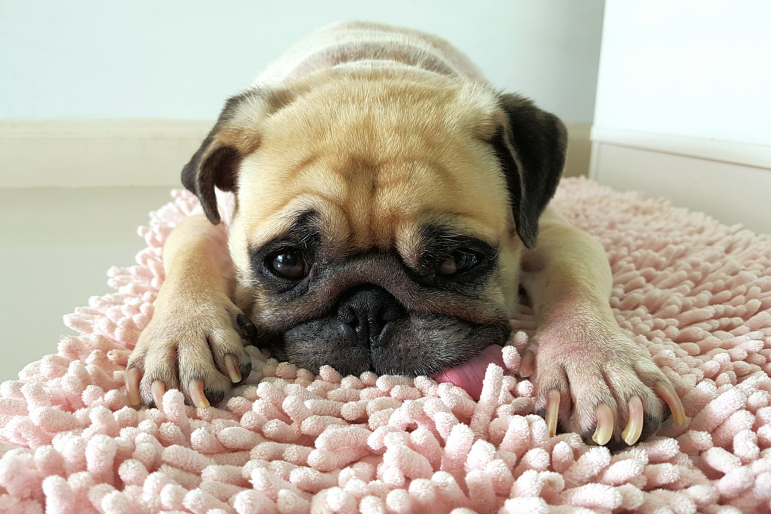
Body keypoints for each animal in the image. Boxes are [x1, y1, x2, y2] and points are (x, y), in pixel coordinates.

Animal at [123, 22, 684, 442]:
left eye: (458, 262)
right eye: (286, 262)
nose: (368, 308)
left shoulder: (555, 234)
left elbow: (574, 285)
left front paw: (595, 362)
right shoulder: (205, 224)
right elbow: (189, 259)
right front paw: (182, 337)